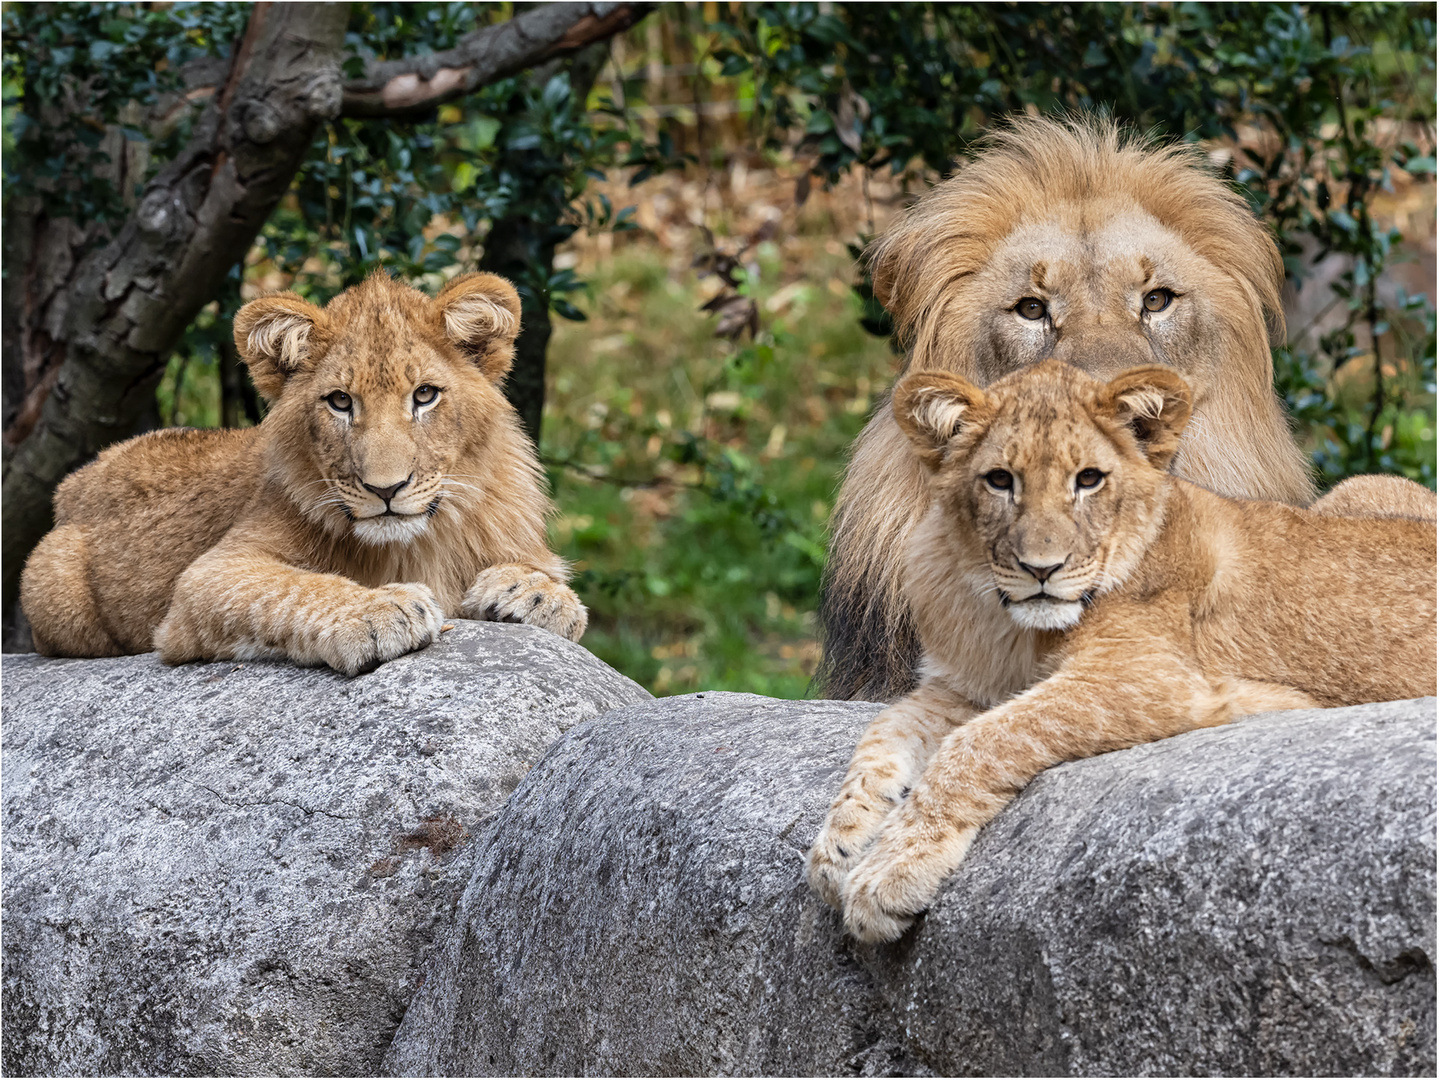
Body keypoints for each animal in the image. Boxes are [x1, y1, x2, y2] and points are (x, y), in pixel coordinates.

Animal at [19, 270, 587, 675]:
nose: (385, 489)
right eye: (340, 402)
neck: (418, 543)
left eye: (425, 395)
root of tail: (76, 480)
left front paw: (532, 593)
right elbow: (294, 588)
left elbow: (554, 591)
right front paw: (379, 609)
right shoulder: (208, 579)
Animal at [817, 359, 1433, 943]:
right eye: (999, 480)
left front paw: (889, 872)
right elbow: (883, 734)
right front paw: (838, 847)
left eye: (1089, 479)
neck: (1010, 626)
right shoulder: (965, 684)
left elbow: (980, 742)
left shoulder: (1149, 678)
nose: (1042, 569)